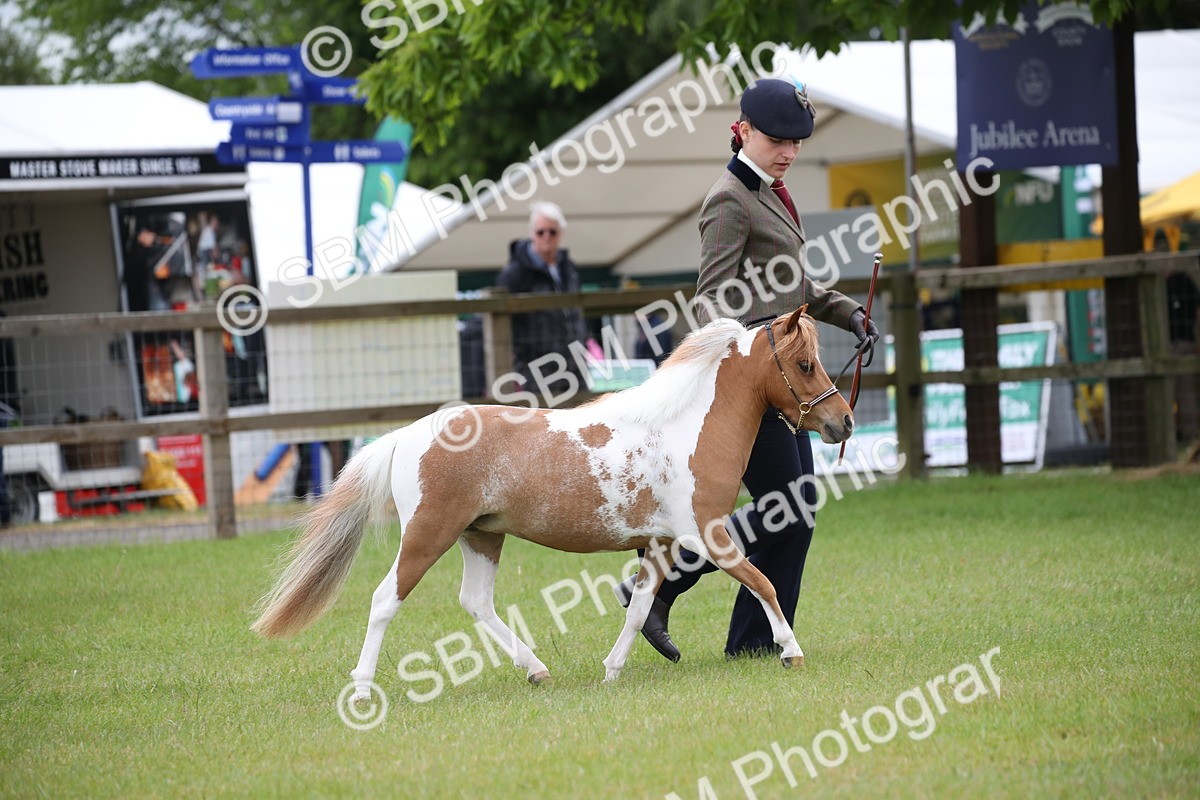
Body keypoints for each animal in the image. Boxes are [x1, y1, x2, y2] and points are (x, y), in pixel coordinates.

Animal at [251, 305, 854, 698]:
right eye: (805, 364)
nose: (842, 421)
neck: (685, 427)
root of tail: (406, 435)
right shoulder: (707, 532)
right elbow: (763, 582)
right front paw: (791, 652)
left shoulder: (661, 544)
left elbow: (639, 609)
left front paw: (611, 672)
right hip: (428, 534)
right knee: (384, 600)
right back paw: (362, 688)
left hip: (482, 535)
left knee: (476, 602)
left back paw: (536, 669)